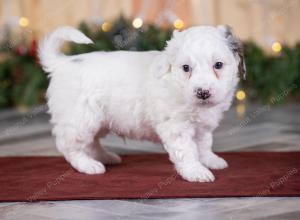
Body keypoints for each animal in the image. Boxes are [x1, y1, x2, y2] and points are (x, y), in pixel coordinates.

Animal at [38, 24, 245, 182]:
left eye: (218, 65)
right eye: (186, 68)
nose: (202, 92)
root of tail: (63, 63)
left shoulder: (203, 127)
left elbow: (204, 144)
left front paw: (211, 160)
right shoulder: (176, 127)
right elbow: (187, 150)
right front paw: (196, 172)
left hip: (97, 120)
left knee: (91, 142)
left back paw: (105, 157)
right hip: (80, 118)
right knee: (69, 145)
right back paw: (88, 165)